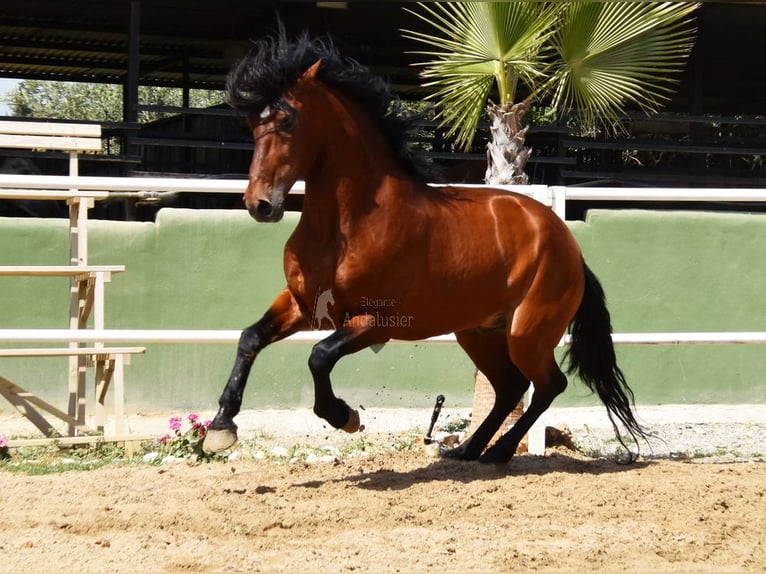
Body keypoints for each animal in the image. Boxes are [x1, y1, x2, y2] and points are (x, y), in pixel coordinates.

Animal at [202, 30, 648, 464]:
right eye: (251, 123)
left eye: (288, 118)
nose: (260, 204)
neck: (345, 227)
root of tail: (568, 243)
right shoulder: (302, 304)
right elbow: (250, 338)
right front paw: (221, 429)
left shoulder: (375, 321)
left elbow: (319, 356)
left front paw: (344, 416)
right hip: (479, 332)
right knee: (511, 386)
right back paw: (469, 450)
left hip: (527, 332)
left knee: (548, 384)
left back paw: (498, 452)